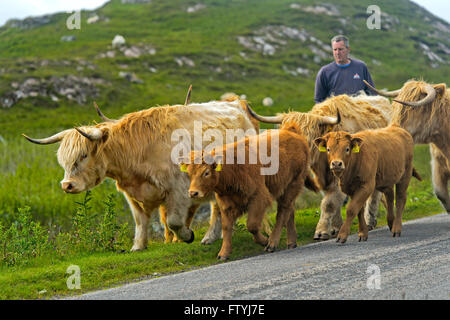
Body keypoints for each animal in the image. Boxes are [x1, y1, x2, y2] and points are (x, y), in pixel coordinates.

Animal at [181, 122, 318, 260]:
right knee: (289, 211)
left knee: (283, 212)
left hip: (293, 185)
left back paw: (272, 243)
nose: (193, 193)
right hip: (286, 188)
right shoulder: (226, 204)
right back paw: (291, 242)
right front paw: (223, 253)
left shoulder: (258, 198)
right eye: (189, 173)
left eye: (206, 172)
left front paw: (264, 241)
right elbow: (226, 227)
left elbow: (252, 225)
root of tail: (291, 131)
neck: (232, 168)